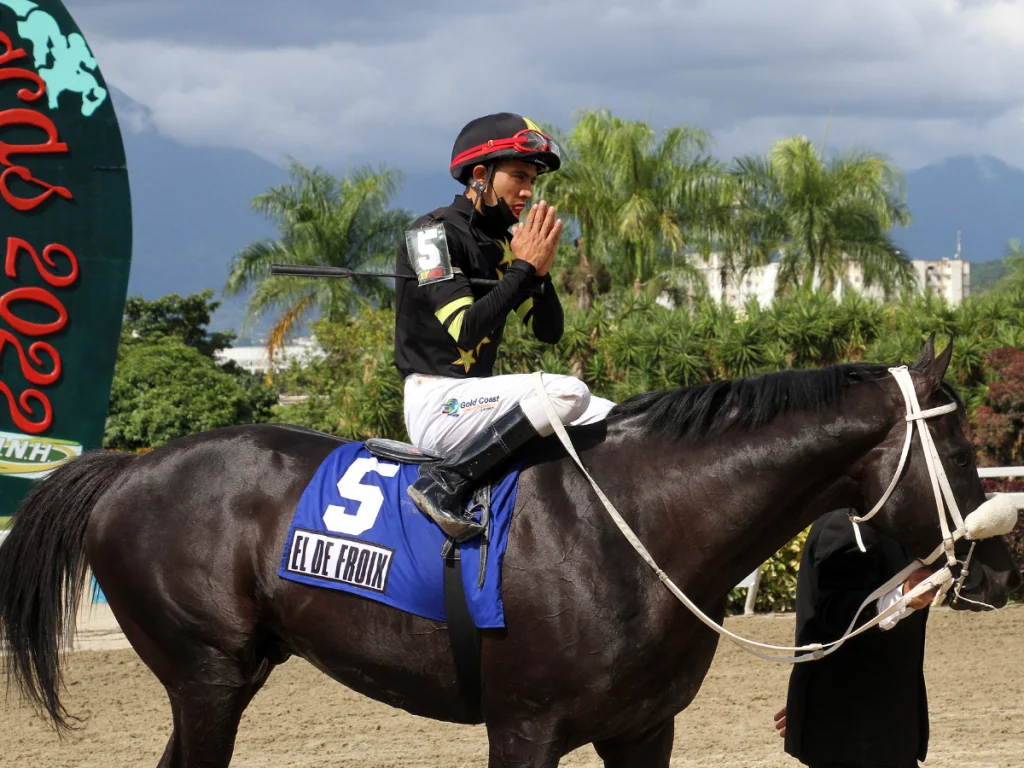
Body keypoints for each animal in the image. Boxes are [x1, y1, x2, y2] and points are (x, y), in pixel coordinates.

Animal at [0, 339, 1019, 765]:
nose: (1006, 567)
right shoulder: (523, 729)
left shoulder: (643, 731)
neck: (639, 527)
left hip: (226, 678)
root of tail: (130, 469)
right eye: (957, 442)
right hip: (207, 676)